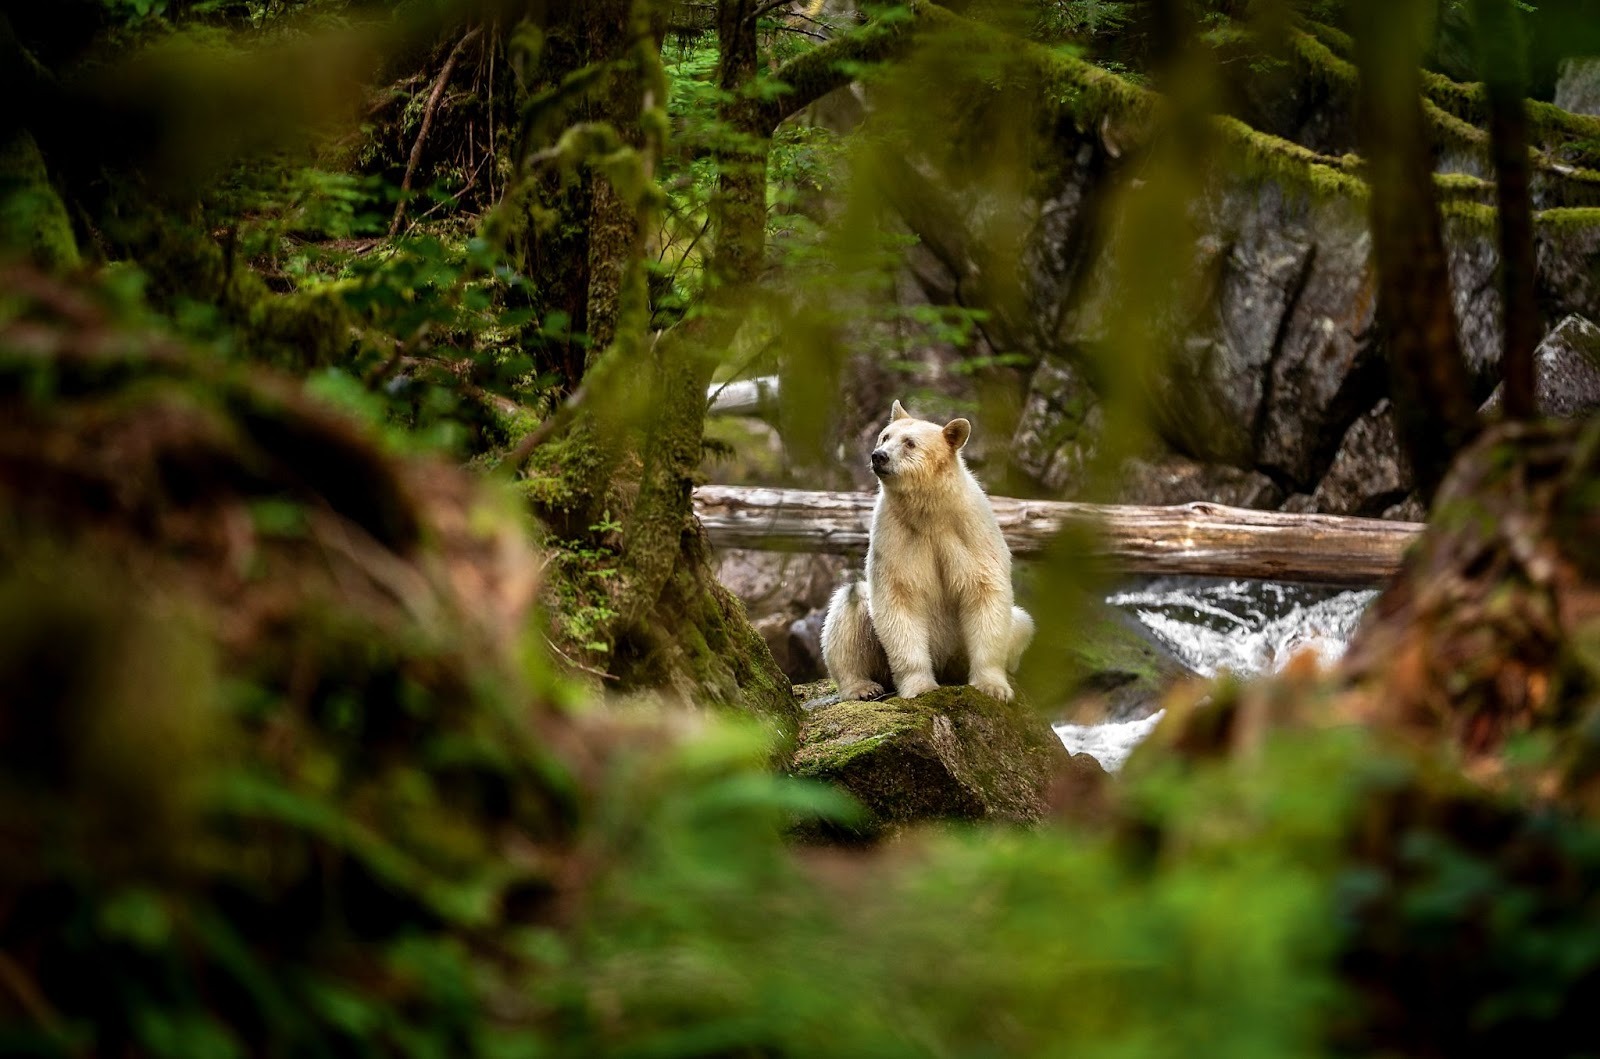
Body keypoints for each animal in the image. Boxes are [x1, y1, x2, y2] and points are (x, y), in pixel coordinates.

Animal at [821, 400, 1034, 703]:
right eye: (885, 436)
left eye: (909, 443)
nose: (879, 456)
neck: (930, 512)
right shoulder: (896, 533)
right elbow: (899, 595)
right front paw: (920, 686)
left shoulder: (970, 531)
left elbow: (984, 591)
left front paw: (993, 687)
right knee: (850, 606)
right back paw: (862, 687)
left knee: (1022, 623)